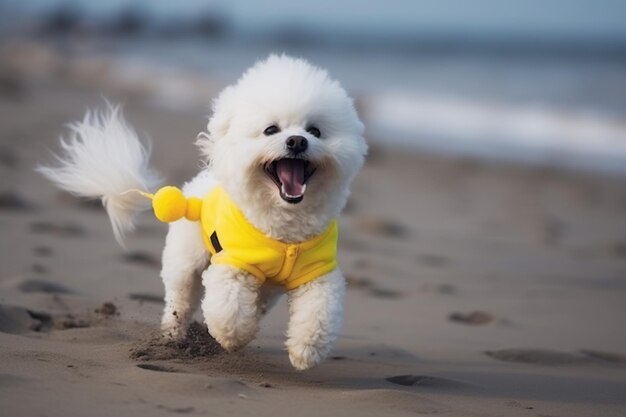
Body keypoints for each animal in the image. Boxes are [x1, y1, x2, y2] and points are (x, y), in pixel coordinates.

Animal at [39, 53, 368, 368]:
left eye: (315, 131)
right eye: (271, 130)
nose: (297, 141)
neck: (284, 227)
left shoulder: (317, 274)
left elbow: (317, 314)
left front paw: (304, 351)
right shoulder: (234, 263)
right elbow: (229, 309)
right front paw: (234, 338)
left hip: (267, 286)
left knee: (260, 301)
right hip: (185, 262)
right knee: (180, 300)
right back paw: (172, 337)